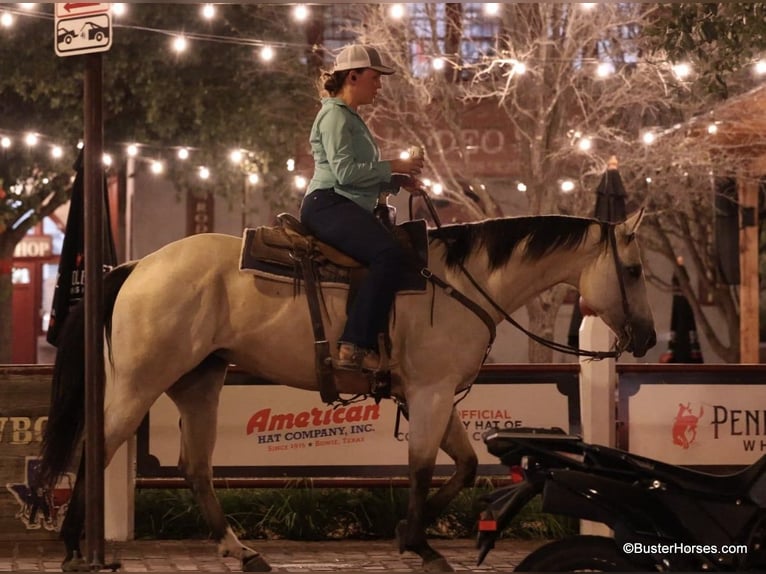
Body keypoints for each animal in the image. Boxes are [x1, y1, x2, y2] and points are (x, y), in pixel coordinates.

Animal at [39, 210, 656, 572]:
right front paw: (420, 542)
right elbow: (422, 468)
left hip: (199, 381)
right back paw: (74, 547)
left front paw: (410, 531)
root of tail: (137, 265)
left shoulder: (433, 395)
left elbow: (461, 467)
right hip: (142, 380)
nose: (649, 336)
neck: (461, 282)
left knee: (195, 467)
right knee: (101, 446)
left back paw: (238, 548)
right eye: (633, 270)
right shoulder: (431, 393)